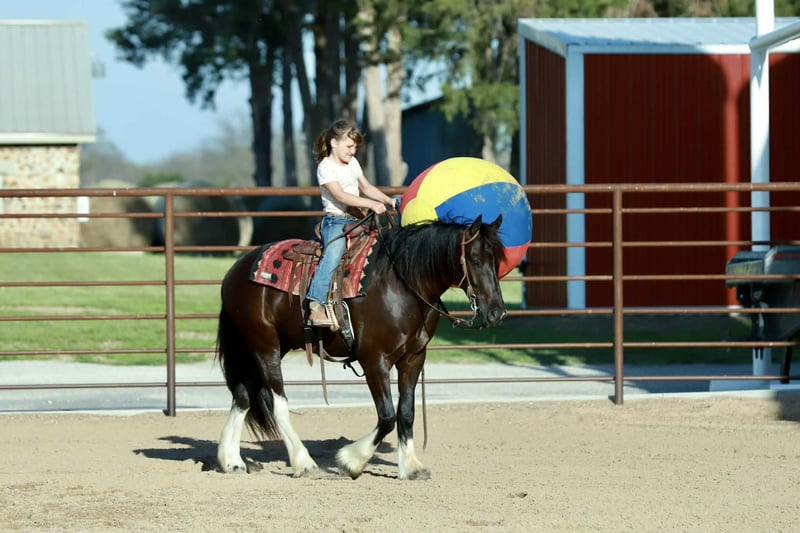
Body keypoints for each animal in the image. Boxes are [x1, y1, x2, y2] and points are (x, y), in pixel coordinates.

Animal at [215, 214, 507, 480]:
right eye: (475, 260)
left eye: (497, 261)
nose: (497, 313)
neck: (403, 284)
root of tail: (235, 270)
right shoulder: (374, 360)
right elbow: (387, 416)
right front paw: (350, 461)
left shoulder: (413, 358)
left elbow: (406, 412)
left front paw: (411, 467)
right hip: (265, 345)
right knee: (277, 401)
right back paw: (304, 463)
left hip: (262, 346)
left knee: (242, 395)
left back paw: (232, 461)